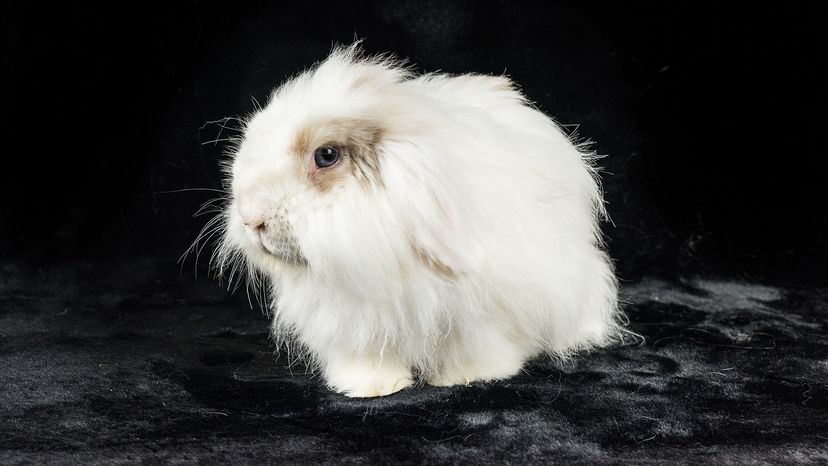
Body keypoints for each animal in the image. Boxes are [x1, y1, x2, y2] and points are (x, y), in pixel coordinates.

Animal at [215, 44, 623, 397]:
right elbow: (367, 355)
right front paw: (369, 386)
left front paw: (469, 378)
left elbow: (477, 348)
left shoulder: (482, 315)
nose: (251, 218)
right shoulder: (357, 320)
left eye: (326, 155)